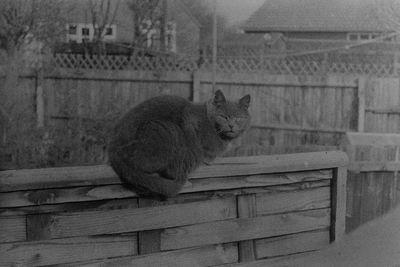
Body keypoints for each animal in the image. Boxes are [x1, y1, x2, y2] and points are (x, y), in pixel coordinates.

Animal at [106, 90, 250, 201]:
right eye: (224, 117)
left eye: (238, 118)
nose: (231, 125)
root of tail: (113, 147)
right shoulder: (191, 123)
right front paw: (208, 160)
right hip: (167, 131)